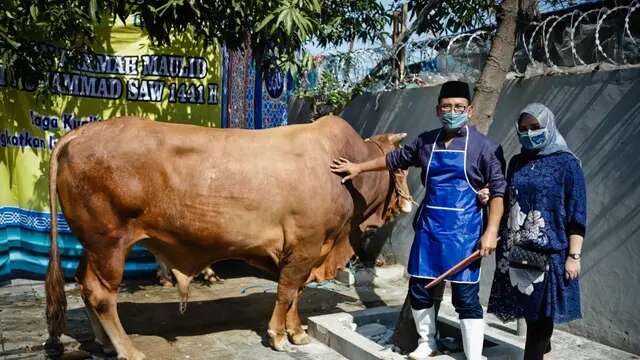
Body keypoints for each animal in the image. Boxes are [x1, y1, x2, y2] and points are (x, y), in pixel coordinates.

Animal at [46, 116, 416, 358]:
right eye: (399, 166)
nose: (410, 202)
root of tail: (78, 133)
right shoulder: (304, 246)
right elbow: (286, 292)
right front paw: (278, 336)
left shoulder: (309, 251)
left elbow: (296, 294)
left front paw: (297, 333)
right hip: (109, 242)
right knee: (101, 294)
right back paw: (128, 350)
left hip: (92, 245)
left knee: (84, 283)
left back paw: (105, 344)